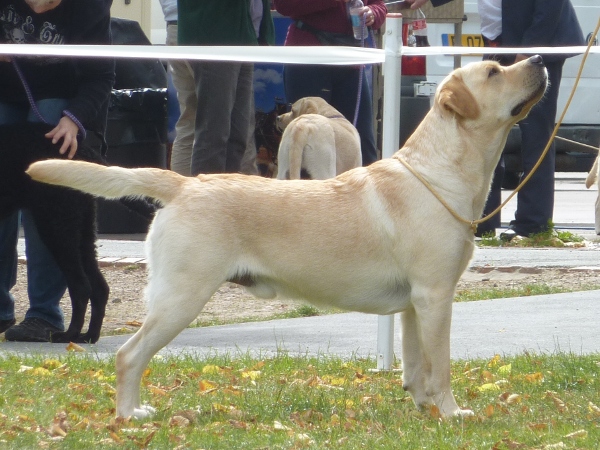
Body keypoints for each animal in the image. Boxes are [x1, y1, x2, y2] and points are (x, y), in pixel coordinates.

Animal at [0, 121, 151, 342]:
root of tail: (83, 150)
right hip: (83, 228)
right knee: (99, 287)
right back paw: (89, 336)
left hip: (57, 224)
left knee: (81, 287)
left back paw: (68, 335)